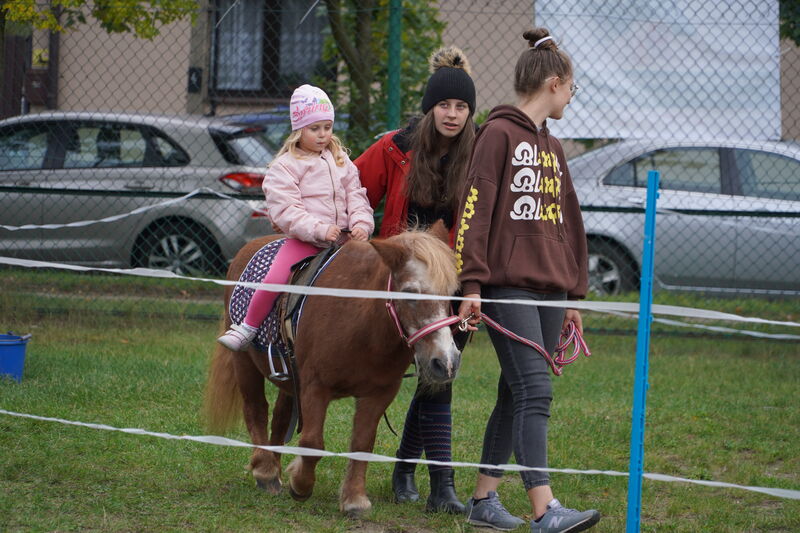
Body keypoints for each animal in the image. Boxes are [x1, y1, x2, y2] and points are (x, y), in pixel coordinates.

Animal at [203, 224, 460, 516]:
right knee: (255, 409)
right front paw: (301, 484)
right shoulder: (316, 386)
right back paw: (265, 471)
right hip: (245, 364)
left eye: (453, 292)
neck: (362, 322)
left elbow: (362, 444)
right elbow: (312, 443)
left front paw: (354, 498)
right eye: (410, 293)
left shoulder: (378, 394)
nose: (446, 362)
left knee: (280, 418)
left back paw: (275, 468)